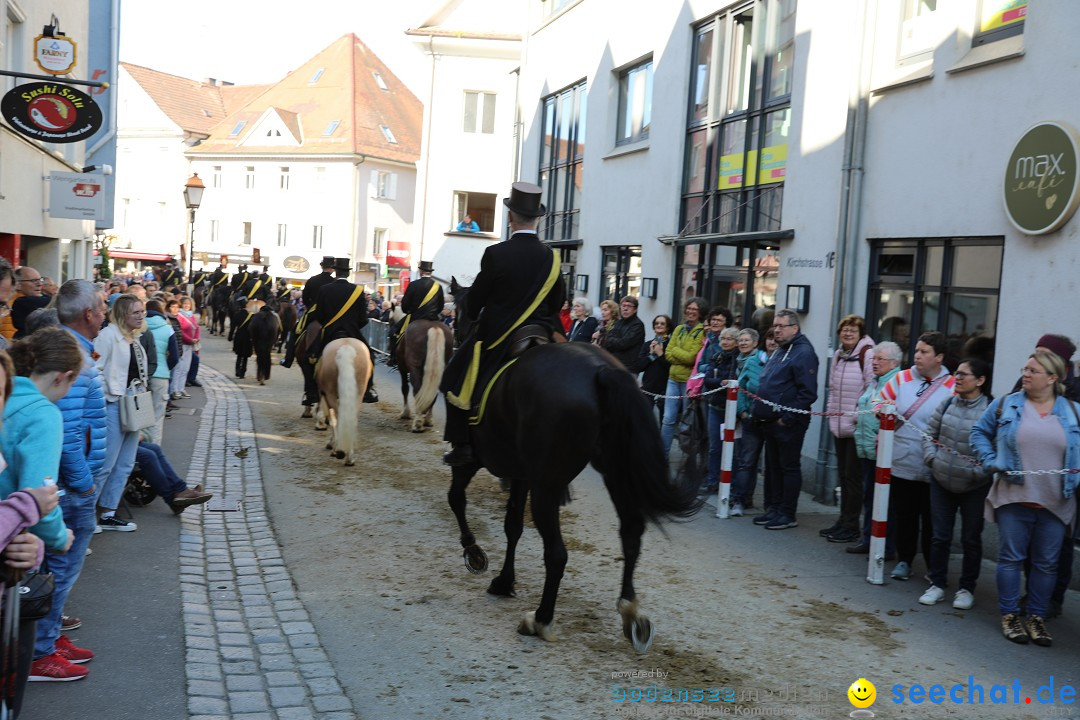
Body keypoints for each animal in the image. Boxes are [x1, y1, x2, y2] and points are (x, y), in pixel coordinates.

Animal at [315, 338, 373, 468]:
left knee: (338, 418)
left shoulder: (325, 396)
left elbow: (331, 420)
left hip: (331, 395)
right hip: (358, 395)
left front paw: (332, 445)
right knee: (352, 419)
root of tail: (346, 347)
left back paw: (340, 452)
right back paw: (349, 457)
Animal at [447, 278, 699, 651]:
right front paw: (504, 581)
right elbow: (512, 525)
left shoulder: (475, 462)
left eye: (463, 311)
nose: (457, 333)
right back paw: (630, 612)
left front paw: (475, 554)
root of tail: (602, 370)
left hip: (549, 485)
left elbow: (457, 499)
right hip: (614, 472)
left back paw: (540, 619)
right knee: (631, 533)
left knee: (557, 553)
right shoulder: (522, 475)